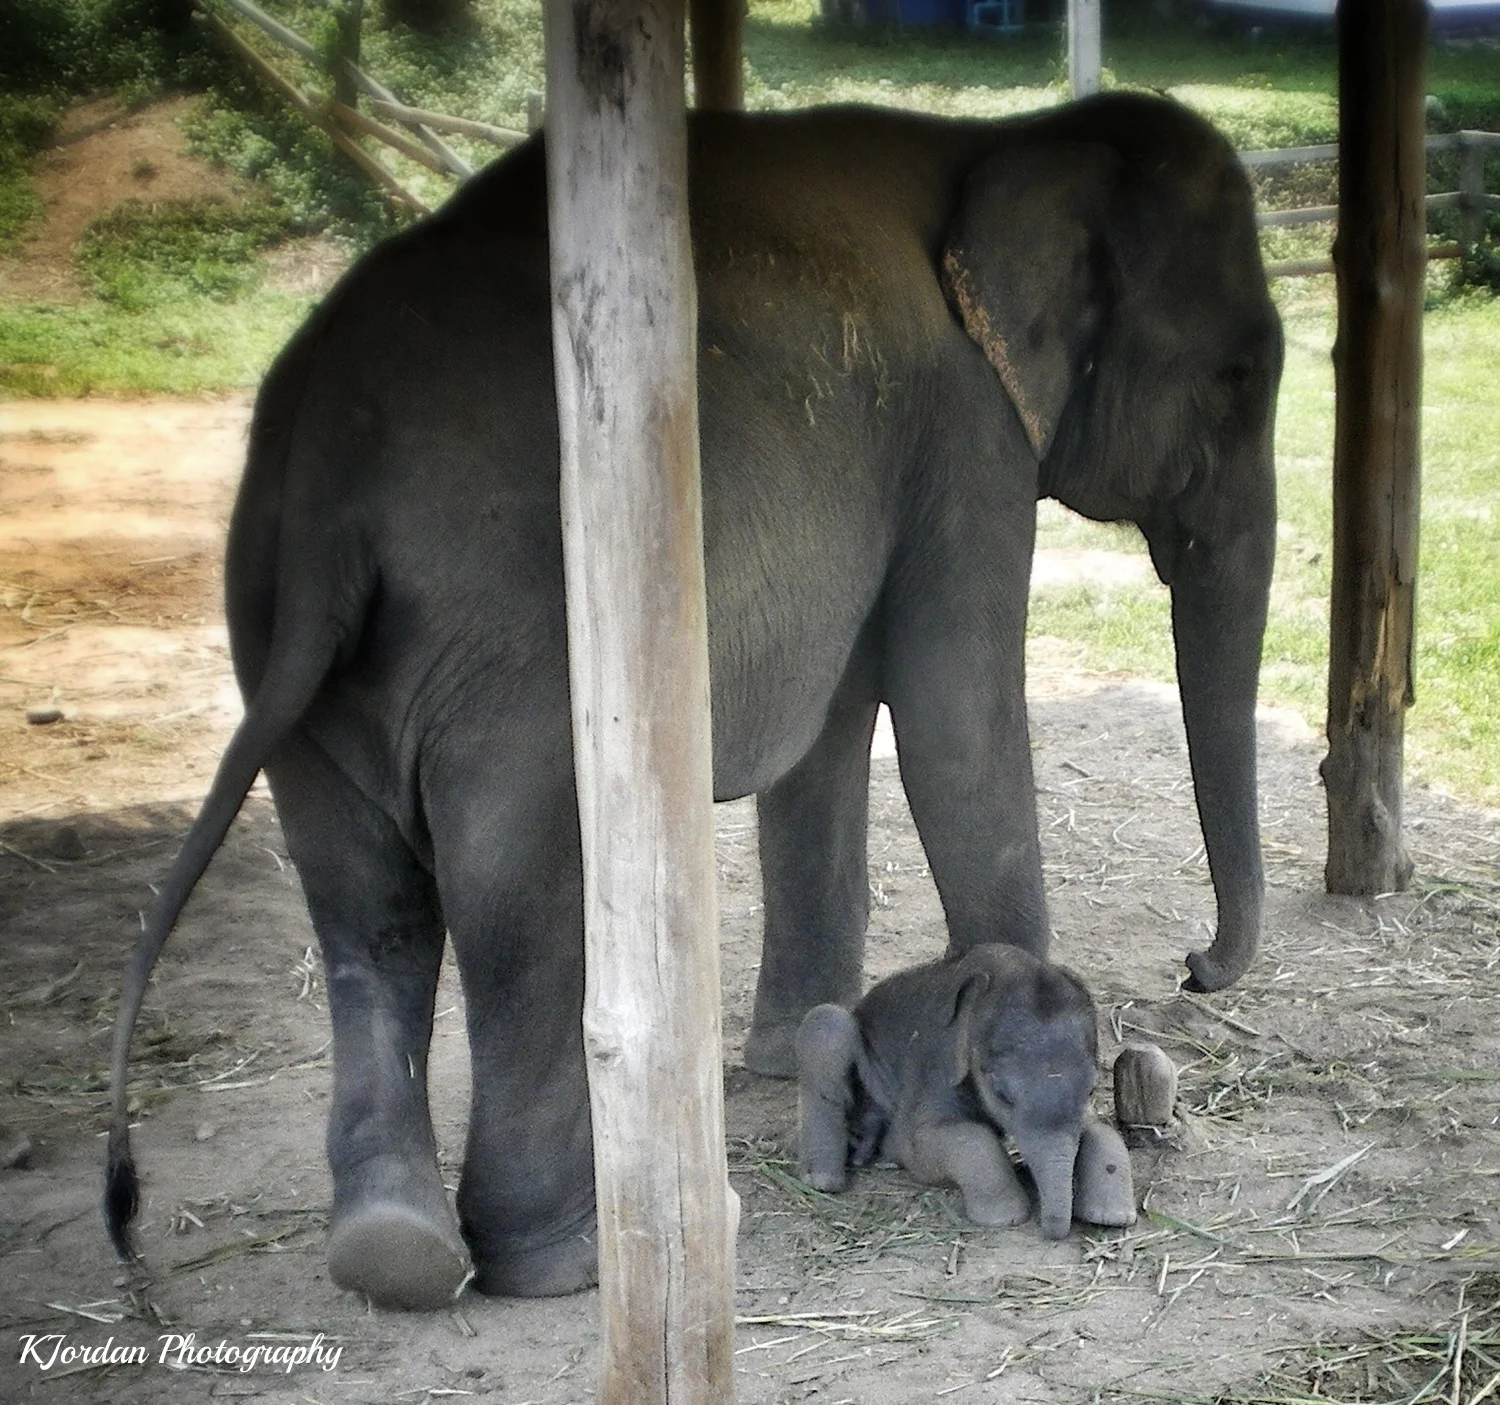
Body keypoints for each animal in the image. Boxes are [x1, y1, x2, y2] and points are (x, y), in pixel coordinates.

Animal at [796, 944, 1135, 1235]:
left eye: (1091, 1092)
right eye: (1002, 1095)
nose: (1050, 1229)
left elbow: (1099, 1130)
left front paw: (1112, 1218)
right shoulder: (936, 1067)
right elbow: (938, 1142)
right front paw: (1005, 1217)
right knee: (827, 1024)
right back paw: (826, 1179)